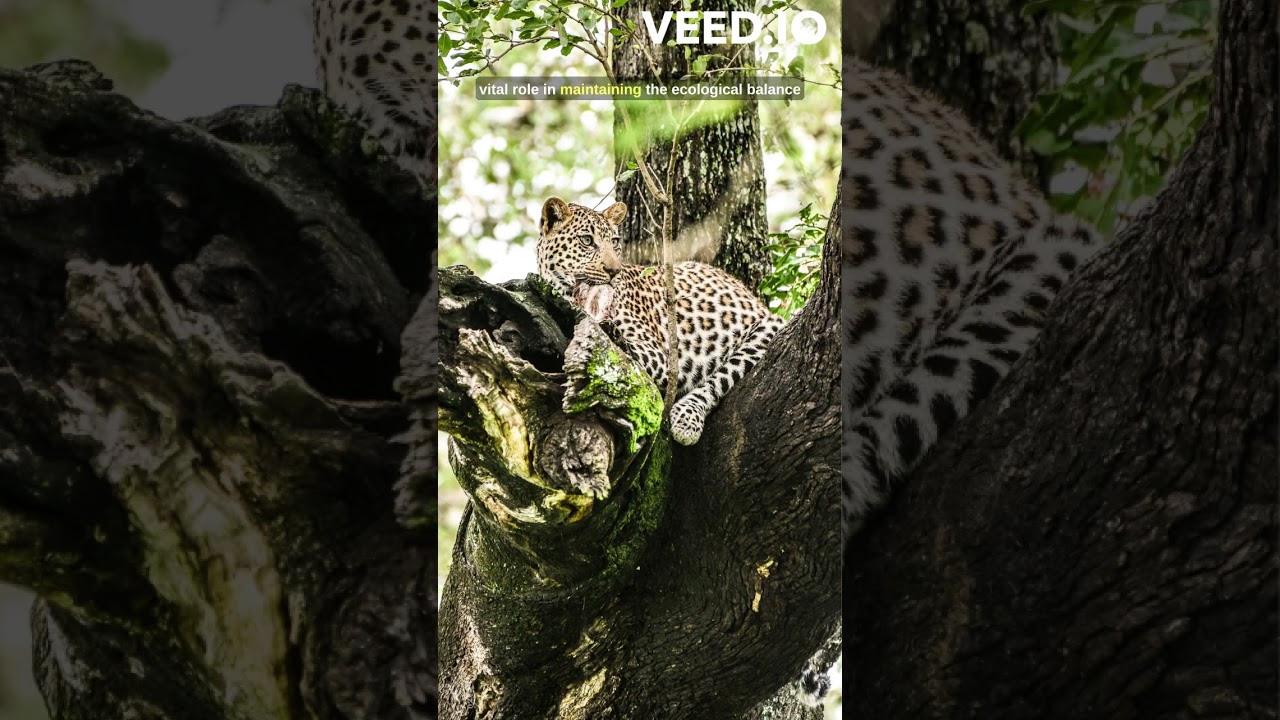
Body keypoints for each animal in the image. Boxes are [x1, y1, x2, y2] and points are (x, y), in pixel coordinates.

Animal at [537, 197, 785, 446]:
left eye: (614, 242)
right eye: (587, 240)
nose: (614, 271)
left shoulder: (659, 355)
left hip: (769, 326)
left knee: (718, 380)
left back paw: (686, 419)